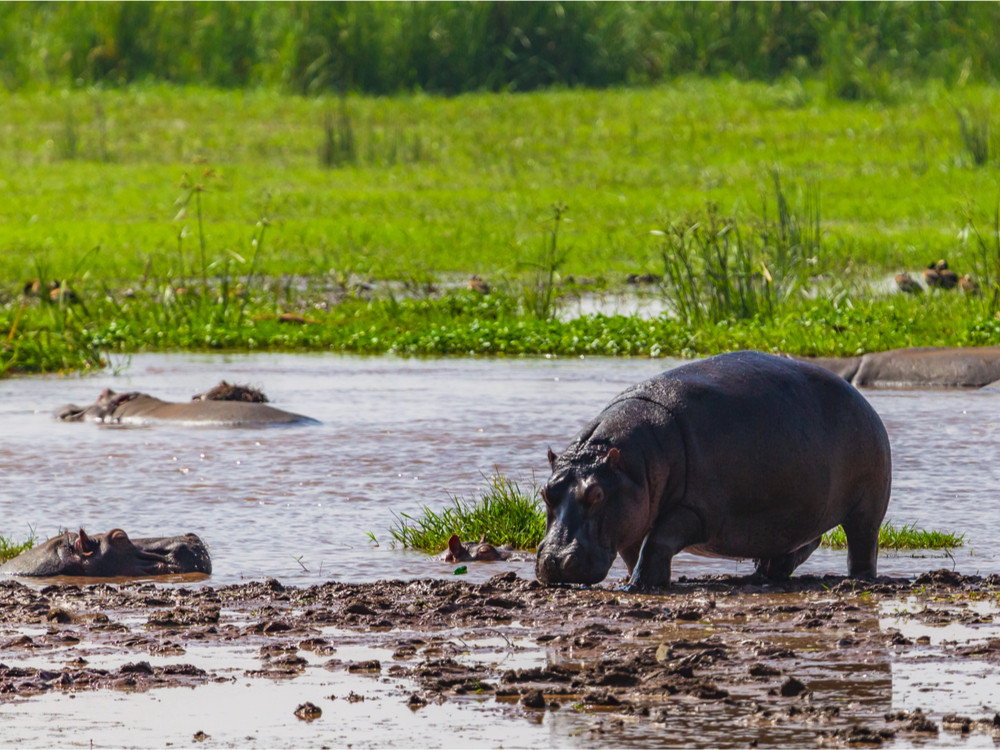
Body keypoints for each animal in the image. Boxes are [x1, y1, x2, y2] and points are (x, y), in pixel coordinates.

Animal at [536, 350, 896, 592]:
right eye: (546, 492)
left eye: (596, 494)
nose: (553, 560)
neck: (631, 462)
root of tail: (864, 402)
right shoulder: (633, 510)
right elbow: (632, 548)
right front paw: (632, 578)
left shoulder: (695, 510)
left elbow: (657, 540)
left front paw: (639, 585)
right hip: (797, 513)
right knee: (802, 542)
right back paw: (763, 574)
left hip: (867, 507)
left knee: (862, 544)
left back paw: (859, 579)